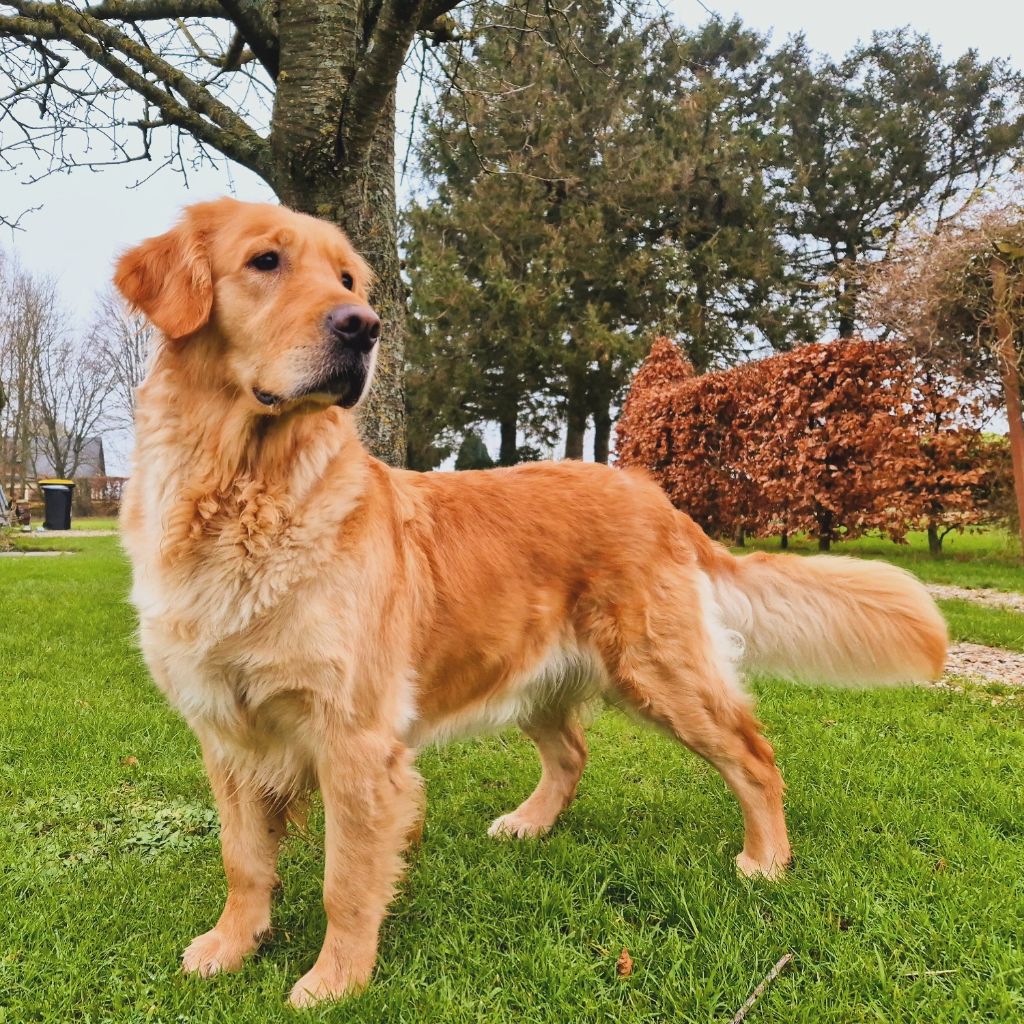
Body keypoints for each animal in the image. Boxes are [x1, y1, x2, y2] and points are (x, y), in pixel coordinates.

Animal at [112, 197, 942, 1007]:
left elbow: (344, 882)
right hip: (536, 674)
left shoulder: (355, 740)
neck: (246, 491)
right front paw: (232, 944)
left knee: (754, 757)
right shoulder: (226, 734)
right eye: (266, 261)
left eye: (349, 280)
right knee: (573, 753)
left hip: (661, 672)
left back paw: (766, 859)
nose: (364, 327)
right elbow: (243, 859)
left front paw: (335, 980)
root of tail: (656, 497)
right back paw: (529, 824)